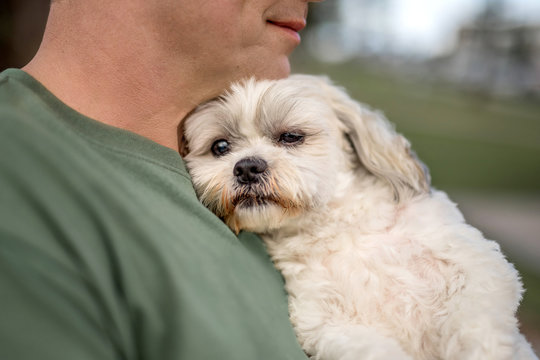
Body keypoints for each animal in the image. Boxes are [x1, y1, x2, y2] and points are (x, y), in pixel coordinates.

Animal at [180, 74, 536, 358]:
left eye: (291, 136)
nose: (247, 167)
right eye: (220, 147)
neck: (341, 228)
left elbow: (476, 322)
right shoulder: (325, 323)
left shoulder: (477, 266)